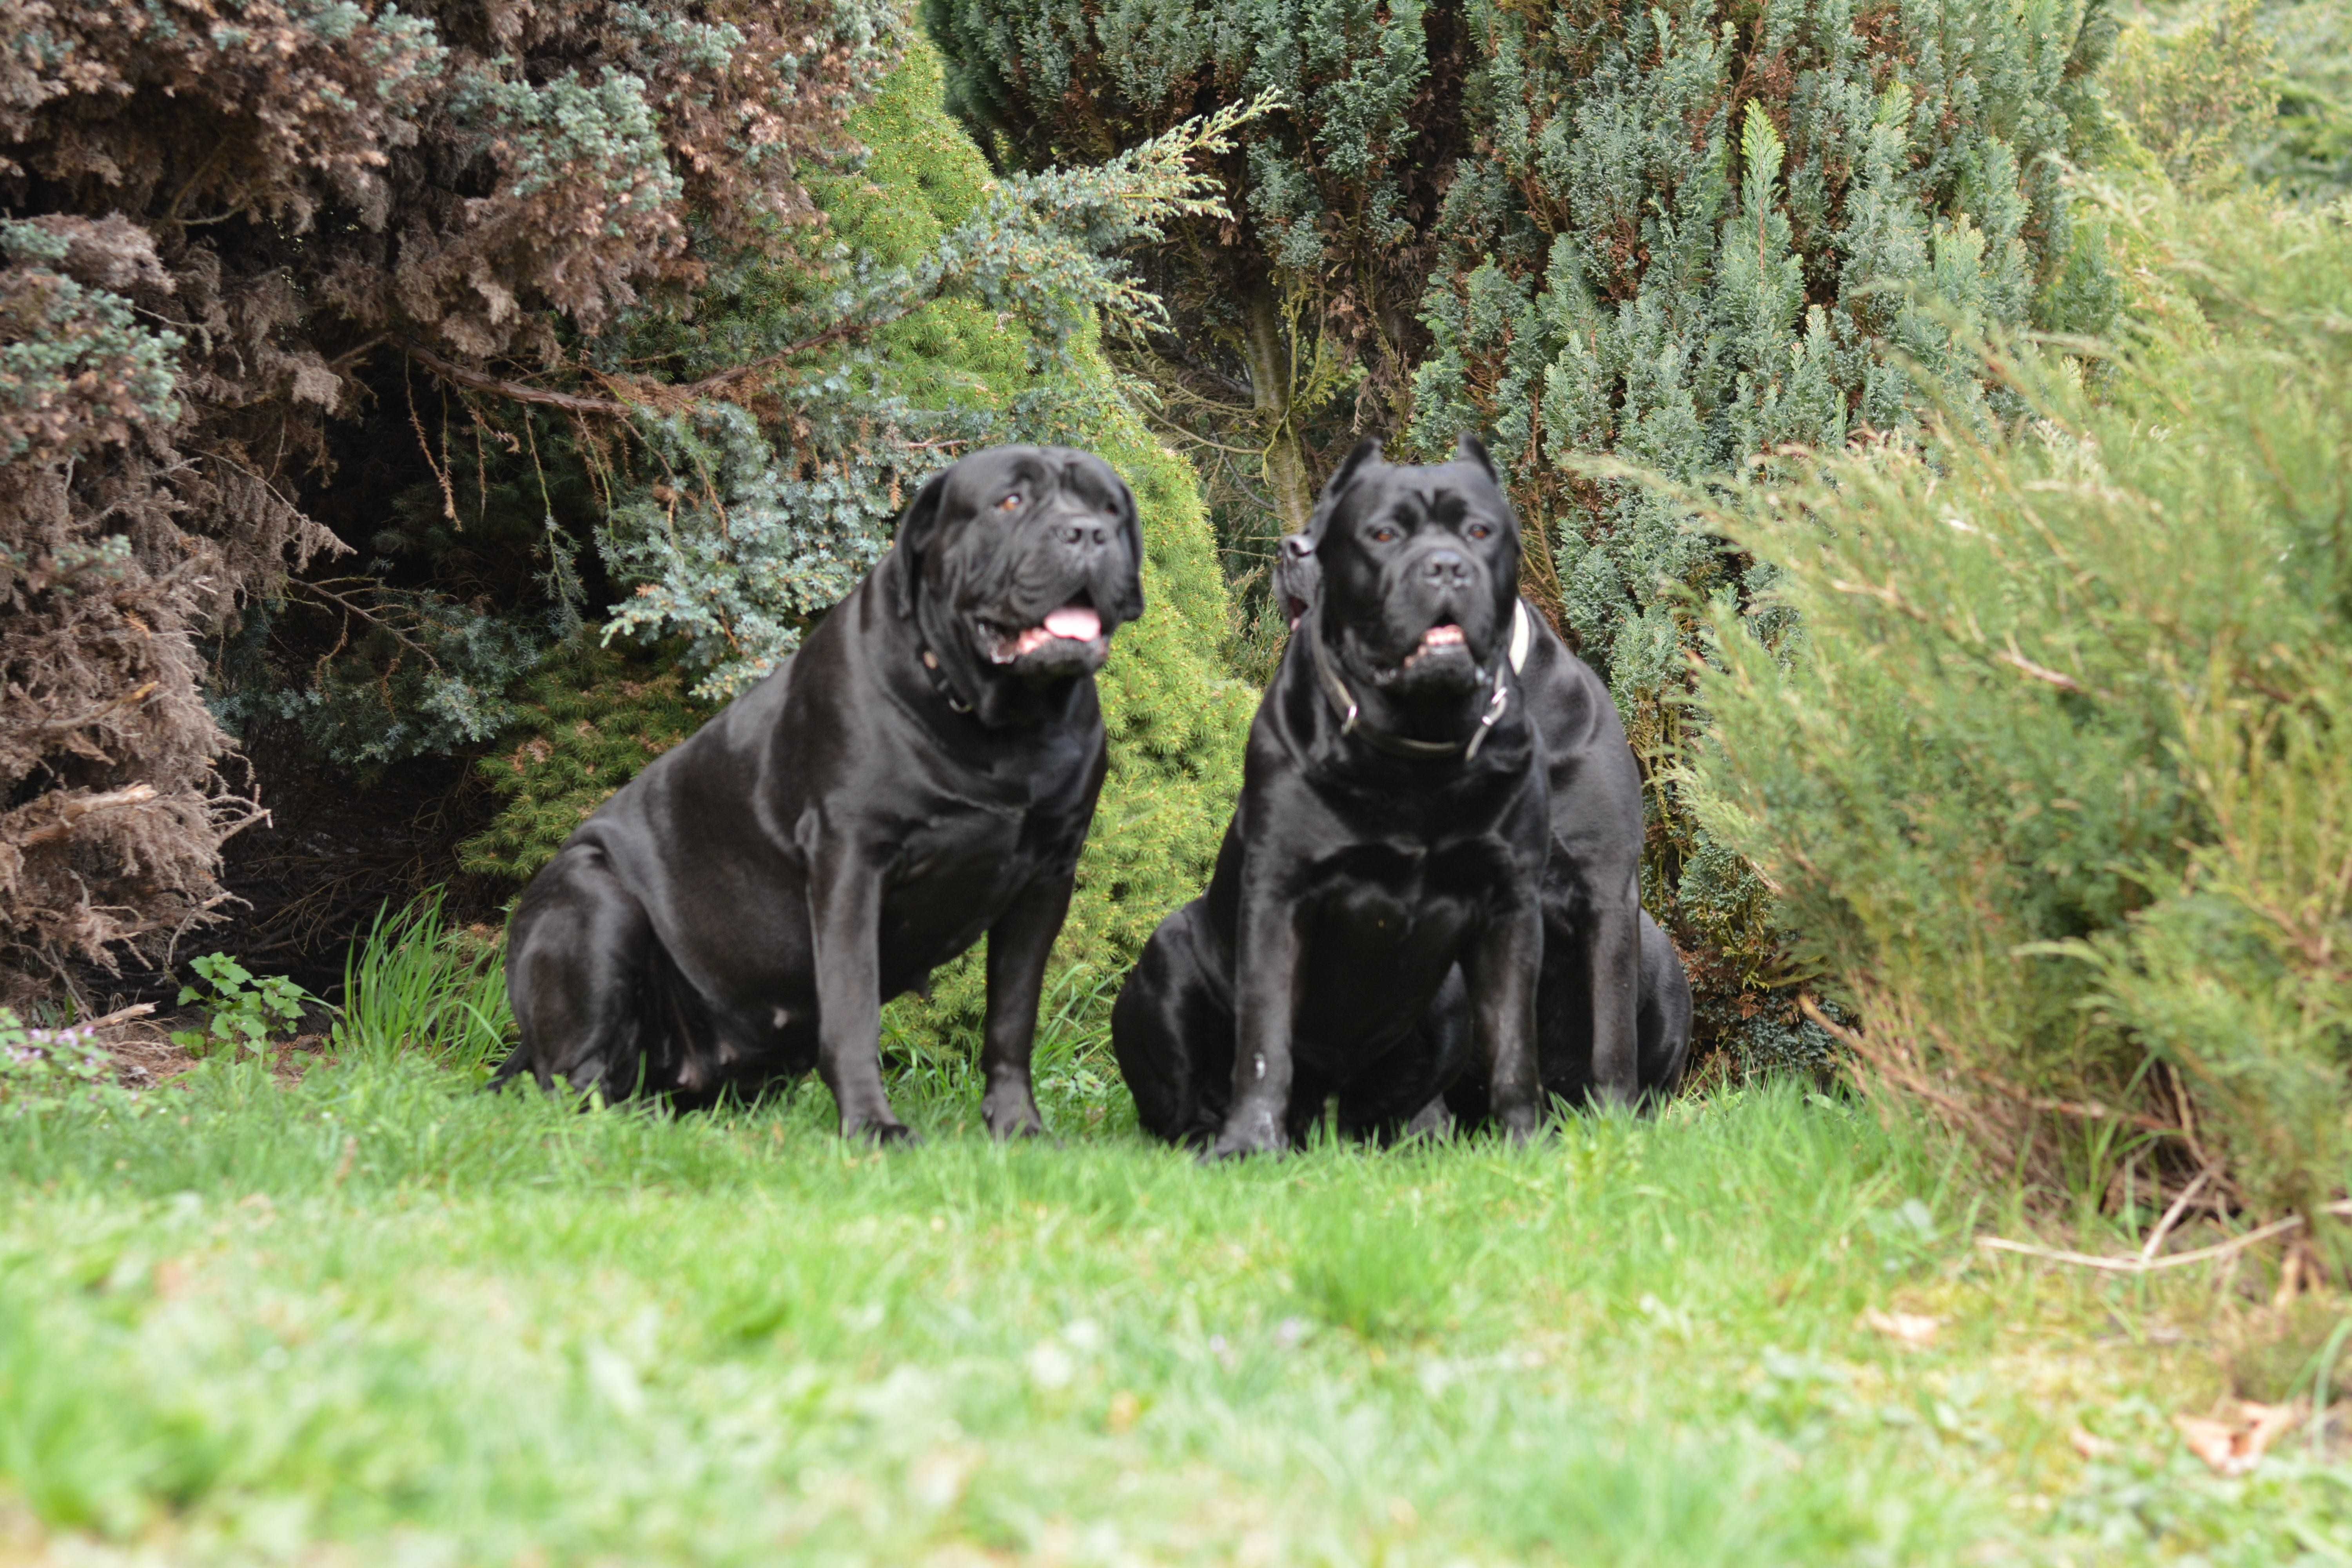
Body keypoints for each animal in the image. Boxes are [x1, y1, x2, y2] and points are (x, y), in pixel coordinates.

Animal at [501, 442, 1143, 1142]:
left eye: (1110, 507)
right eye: (1011, 501)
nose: (1088, 533)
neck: (1002, 725)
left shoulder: (1047, 878)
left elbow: (1011, 1017)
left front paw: (1018, 1128)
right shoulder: (851, 860)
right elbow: (853, 1005)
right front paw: (872, 1126)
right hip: (593, 900)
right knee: (574, 1084)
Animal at [1110, 435, 1552, 1161]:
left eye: (1481, 532)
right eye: (1383, 534)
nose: (1445, 567)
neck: (1417, 742)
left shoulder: (1510, 906)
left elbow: (1516, 1049)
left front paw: (1527, 1145)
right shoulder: (1279, 898)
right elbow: (1264, 1044)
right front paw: (1249, 1145)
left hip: (1449, 1003)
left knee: (1383, 1113)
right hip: (1169, 959)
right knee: (1182, 1107)